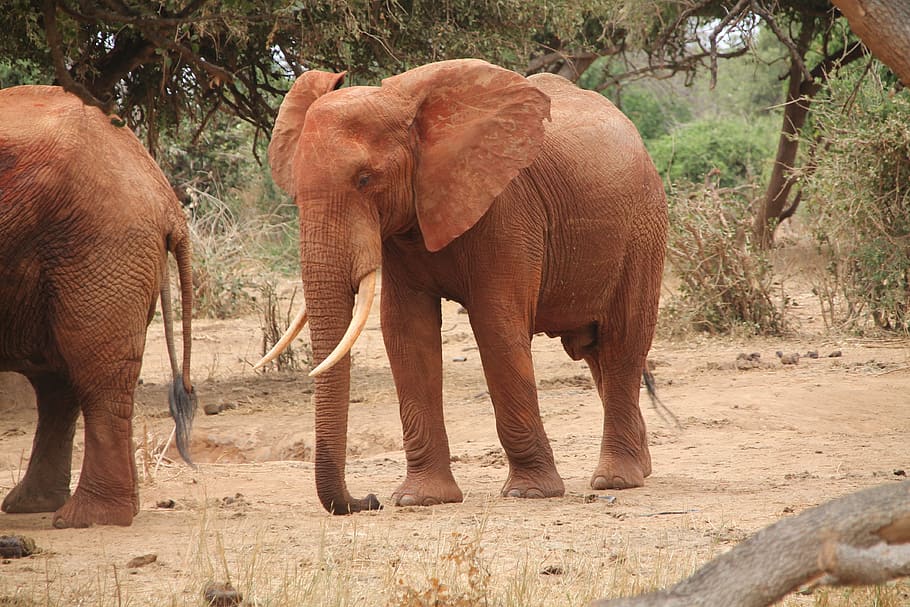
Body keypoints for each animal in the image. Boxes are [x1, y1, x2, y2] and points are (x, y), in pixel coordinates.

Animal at [0, 84, 196, 528]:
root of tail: (165, 197)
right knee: (57, 378)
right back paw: (33, 506)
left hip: (99, 242)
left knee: (94, 369)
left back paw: (86, 518)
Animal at [256, 57, 668, 516]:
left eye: (365, 179)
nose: (368, 500)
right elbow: (406, 332)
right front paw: (419, 499)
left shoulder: (507, 207)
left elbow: (496, 326)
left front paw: (529, 493)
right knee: (596, 352)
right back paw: (641, 468)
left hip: (644, 228)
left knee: (622, 342)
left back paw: (617, 480)